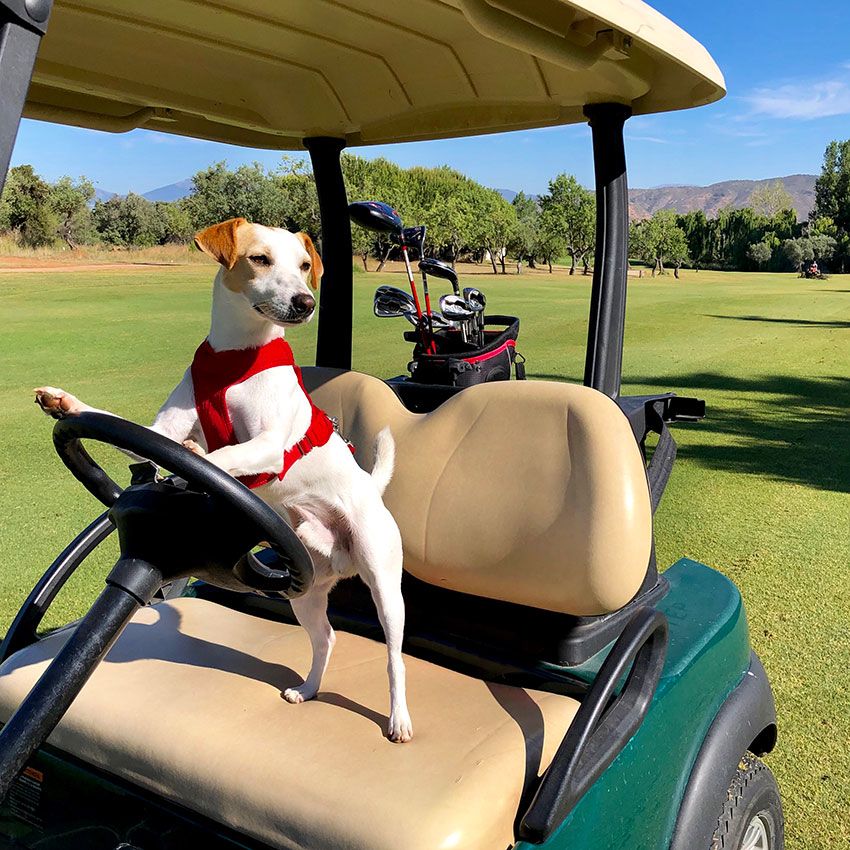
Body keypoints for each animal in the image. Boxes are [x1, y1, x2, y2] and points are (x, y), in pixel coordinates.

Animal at [34, 219, 412, 744]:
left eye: (304, 265)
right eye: (259, 259)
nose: (305, 302)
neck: (235, 357)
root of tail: (370, 495)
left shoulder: (269, 446)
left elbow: (227, 454)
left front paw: (197, 462)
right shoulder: (161, 432)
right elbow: (124, 426)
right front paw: (65, 402)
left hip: (382, 581)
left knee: (395, 656)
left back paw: (398, 719)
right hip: (303, 590)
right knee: (327, 638)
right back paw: (309, 688)